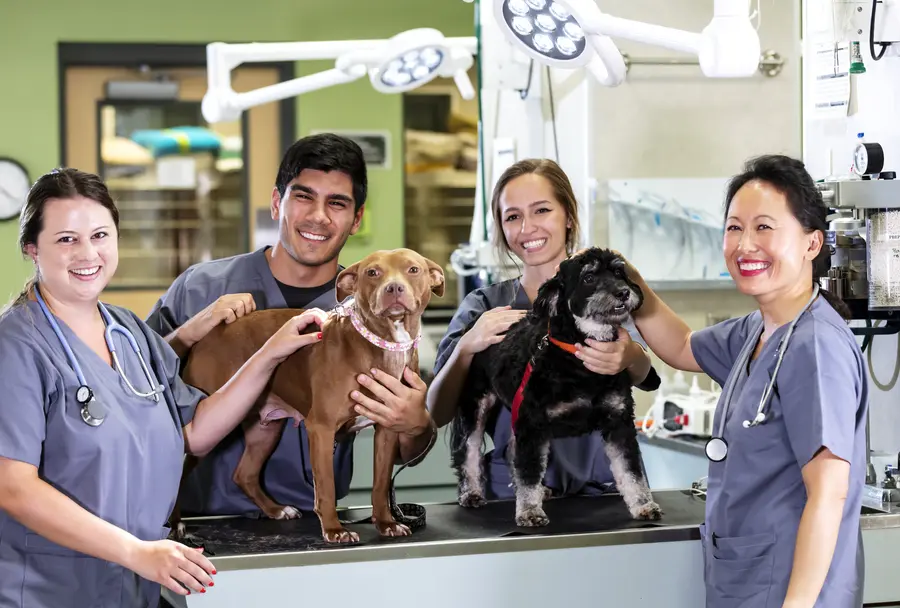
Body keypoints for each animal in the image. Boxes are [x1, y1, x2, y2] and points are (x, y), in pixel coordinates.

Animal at [171, 249, 442, 544]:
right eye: (372, 272)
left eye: (413, 269)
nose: (394, 288)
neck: (383, 344)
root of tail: (206, 339)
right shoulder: (321, 428)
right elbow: (326, 487)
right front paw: (334, 529)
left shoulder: (388, 427)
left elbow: (380, 484)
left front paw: (386, 523)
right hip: (206, 426)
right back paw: (175, 525)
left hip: (265, 428)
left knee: (244, 474)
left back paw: (276, 510)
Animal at [448, 247, 660, 528]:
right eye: (588, 277)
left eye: (618, 272)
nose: (623, 292)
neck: (577, 355)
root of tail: (473, 325)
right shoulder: (533, 424)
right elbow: (528, 471)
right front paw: (529, 511)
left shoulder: (619, 423)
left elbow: (631, 470)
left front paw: (643, 505)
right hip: (477, 406)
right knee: (469, 452)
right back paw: (471, 493)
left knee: (514, 452)